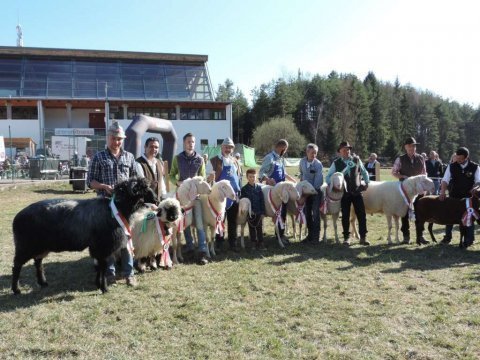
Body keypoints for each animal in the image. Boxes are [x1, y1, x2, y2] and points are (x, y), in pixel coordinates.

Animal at [11, 178, 156, 296]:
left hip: (41, 246)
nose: (155, 199)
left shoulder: (98, 248)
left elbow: (100, 267)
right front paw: (104, 288)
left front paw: (98, 284)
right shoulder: (102, 246)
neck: (117, 209)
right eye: (143, 188)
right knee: (17, 265)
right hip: (25, 245)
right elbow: (102, 267)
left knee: (38, 262)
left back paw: (42, 283)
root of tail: (16, 218)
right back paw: (16, 289)